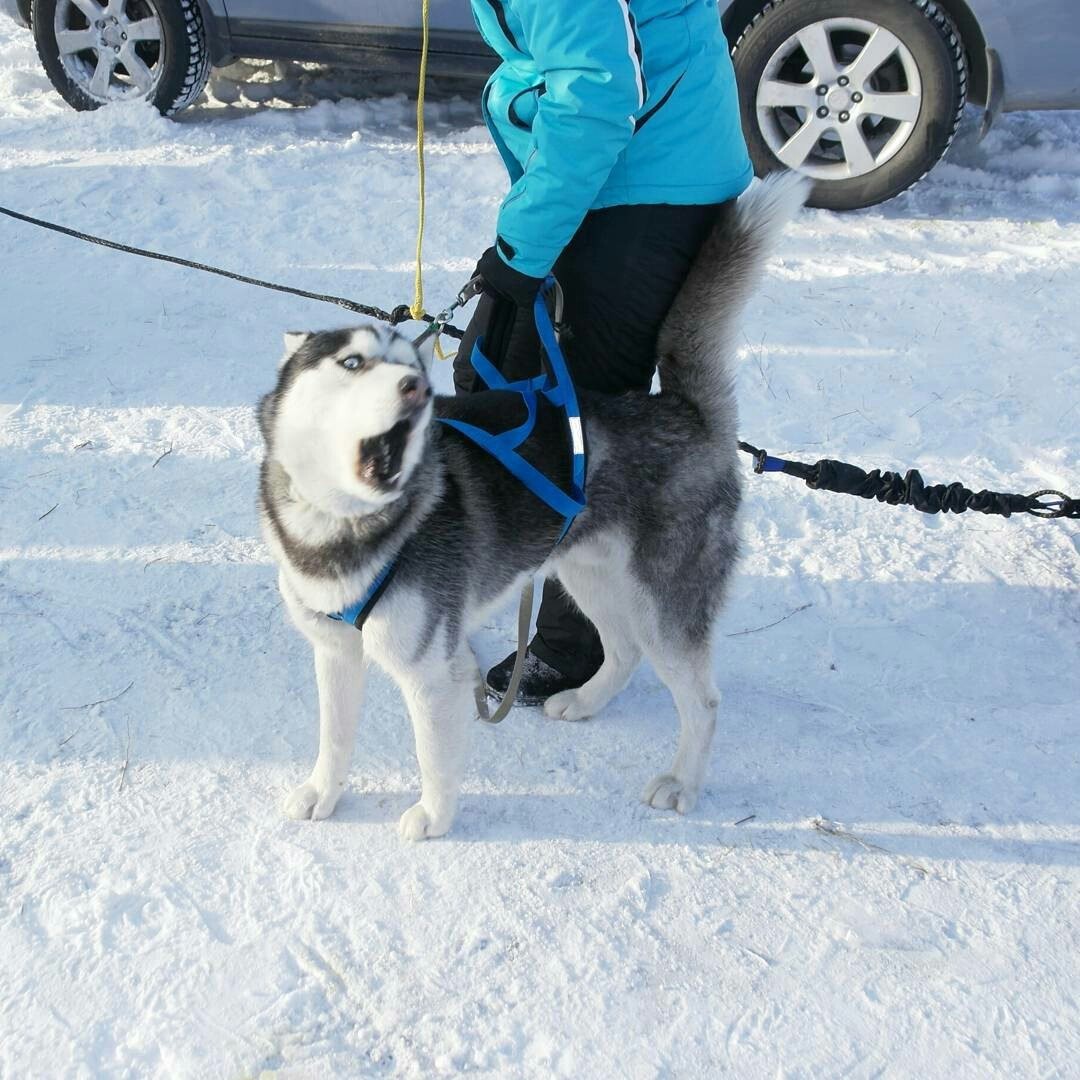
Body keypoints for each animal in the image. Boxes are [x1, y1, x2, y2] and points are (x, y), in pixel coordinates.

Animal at [257, 172, 807, 838]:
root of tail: (682, 411)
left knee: (702, 700)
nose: (414, 389)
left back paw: (682, 781)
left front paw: (434, 817)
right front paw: (323, 793)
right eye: (353, 362)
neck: (344, 531)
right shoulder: (335, 650)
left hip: (663, 605)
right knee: (623, 651)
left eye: (412, 366)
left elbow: (432, 754)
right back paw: (586, 700)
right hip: (585, 573)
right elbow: (334, 738)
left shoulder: (432, 671)